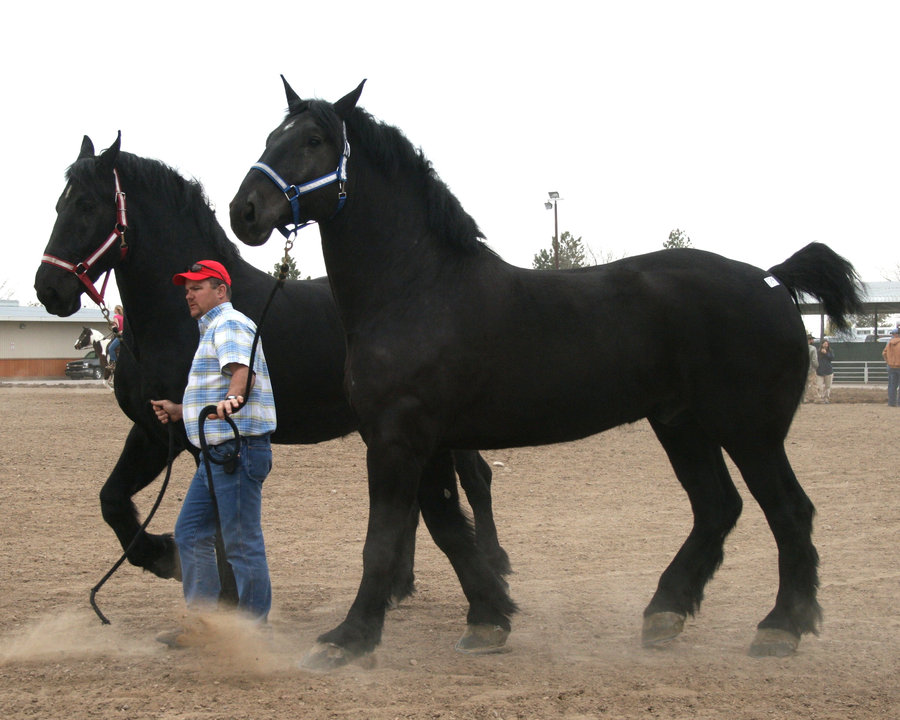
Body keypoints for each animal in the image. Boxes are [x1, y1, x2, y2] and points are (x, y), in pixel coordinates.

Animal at [35, 134, 510, 608]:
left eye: (86, 205)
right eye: (58, 205)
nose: (48, 289)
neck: (176, 322)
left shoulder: (202, 439)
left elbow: (219, 526)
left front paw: (219, 593)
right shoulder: (154, 431)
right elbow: (112, 500)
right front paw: (163, 555)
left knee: (476, 480)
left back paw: (494, 567)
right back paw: (399, 583)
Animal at [230, 79, 864, 668]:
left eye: (313, 141)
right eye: (269, 137)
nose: (245, 212)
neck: (419, 288)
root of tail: (772, 278)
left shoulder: (396, 438)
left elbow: (384, 540)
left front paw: (349, 638)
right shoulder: (426, 442)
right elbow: (448, 527)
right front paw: (489, 618)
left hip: (749, 430)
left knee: (788, 511)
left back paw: (781, 626)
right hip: (682, 424)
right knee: (717, 508)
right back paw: (665, 612)